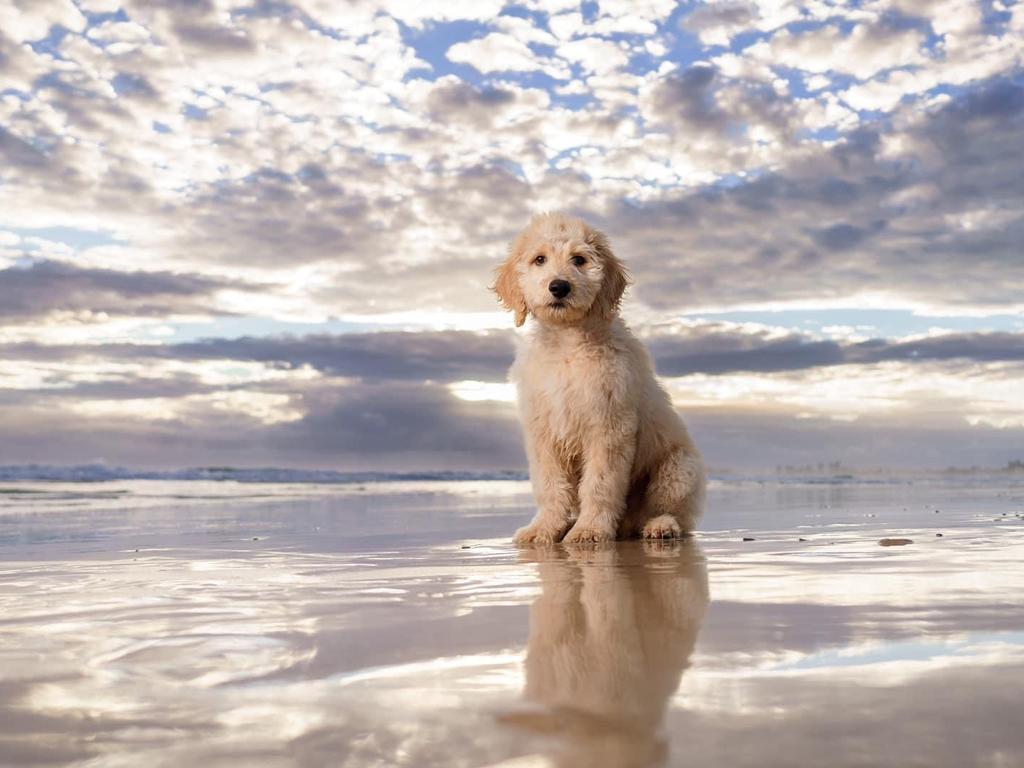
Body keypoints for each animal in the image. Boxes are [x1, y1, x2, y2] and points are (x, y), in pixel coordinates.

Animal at [493, 214, 704, 544]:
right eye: (539, 259)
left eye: (579, 260)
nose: (559, 287)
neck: (568, 343)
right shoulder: (543, 432)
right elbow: (549, 484)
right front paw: (545, 527)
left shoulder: (608, 427)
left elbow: (600, 483)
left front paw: (590, 529)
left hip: (679, 469)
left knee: (672, 511)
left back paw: (660, 526)